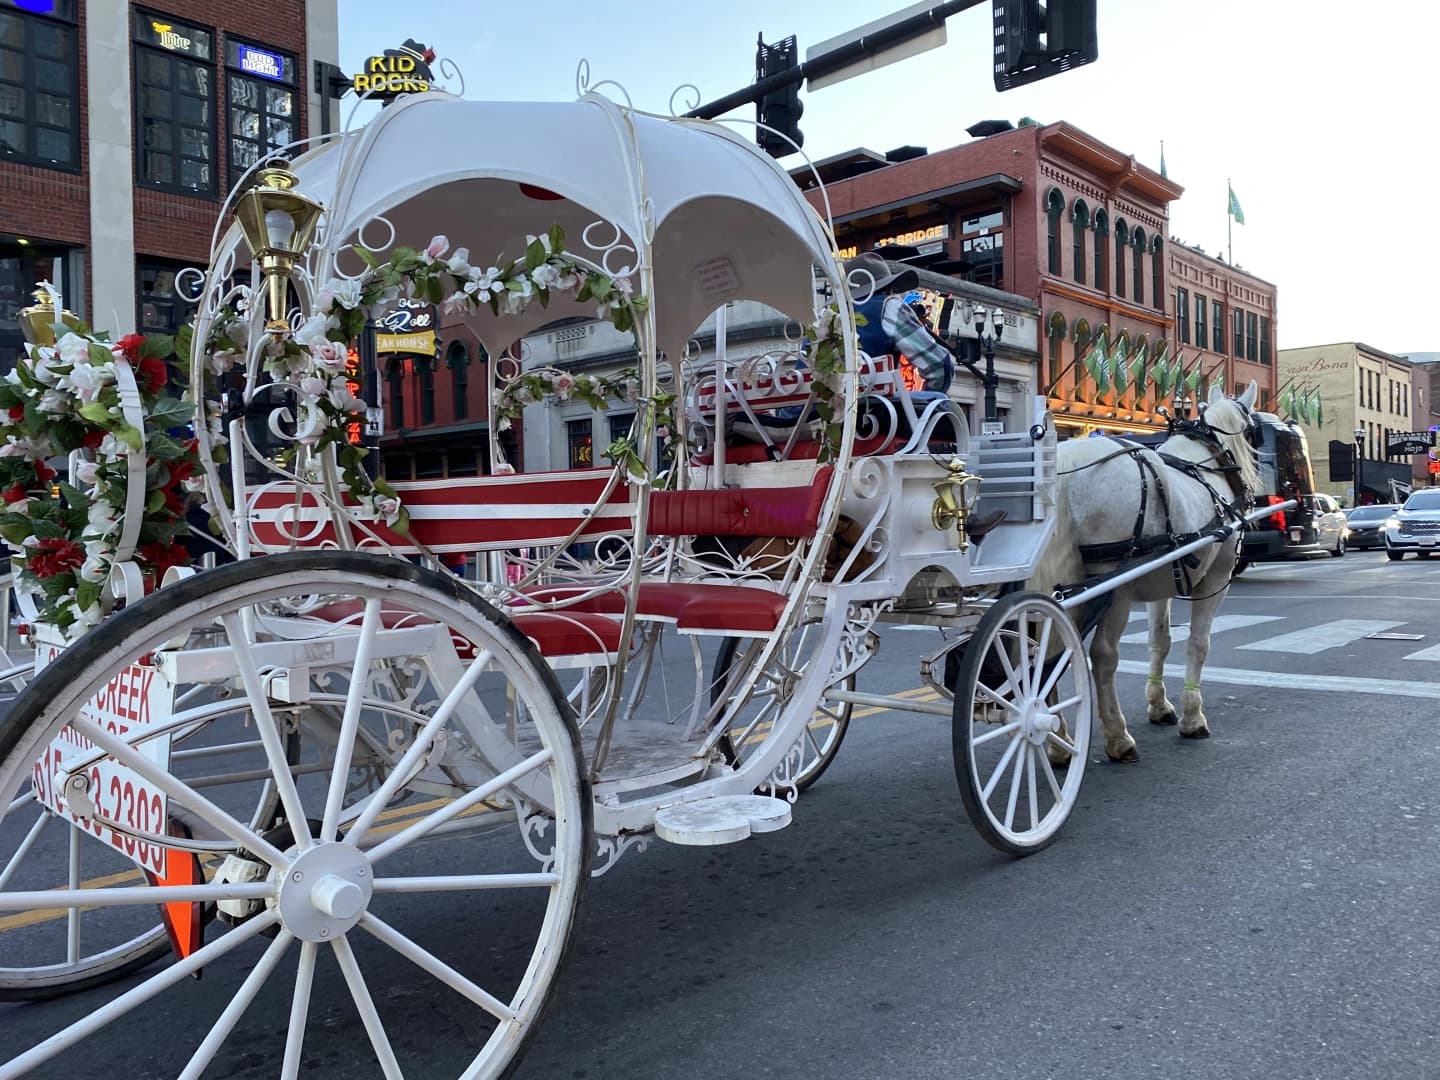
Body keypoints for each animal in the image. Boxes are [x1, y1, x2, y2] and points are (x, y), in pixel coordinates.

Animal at [1036, 385, 1261, 766]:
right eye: (1252, 431)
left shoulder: (1162, 583)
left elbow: (1160, 641)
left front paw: (1160, 705)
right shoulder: (1216, 580)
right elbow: (1198, 644)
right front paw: (1192, 717)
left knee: (1045, 652)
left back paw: (1058, 740)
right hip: (1114, 587)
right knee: (1102, 656)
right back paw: (1117, 738)